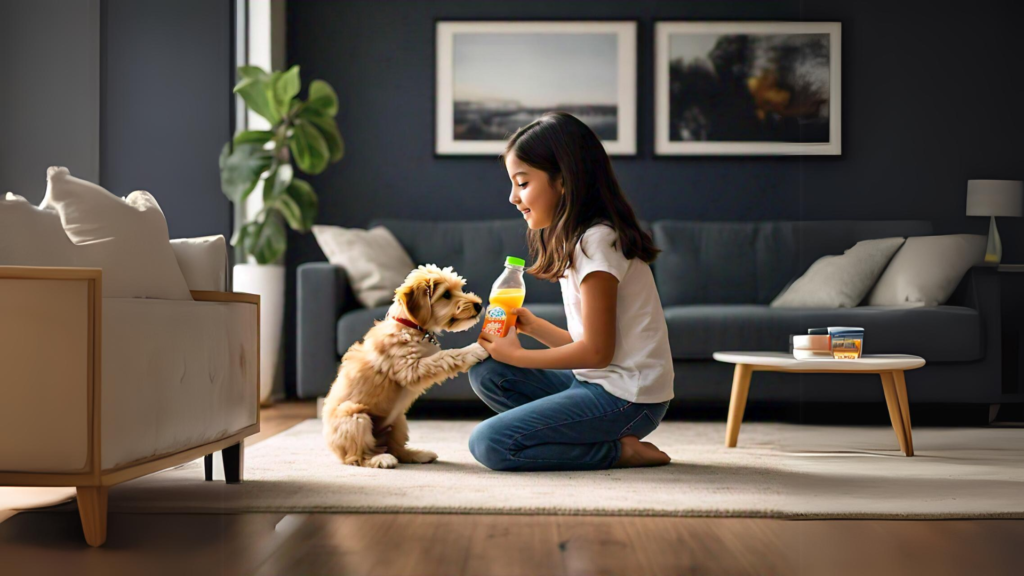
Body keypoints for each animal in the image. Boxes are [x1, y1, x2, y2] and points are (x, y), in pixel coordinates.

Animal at [323, 264, 491, 467]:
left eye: (459, 289)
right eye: (446, 295)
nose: (479, 305)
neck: (410, 326)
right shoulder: (411, 369)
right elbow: (445, 356)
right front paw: (475, 349)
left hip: (398, 421)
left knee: (396, 449)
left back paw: (418, 454)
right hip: (355, 416)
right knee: (358, 456)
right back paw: (381, 459)